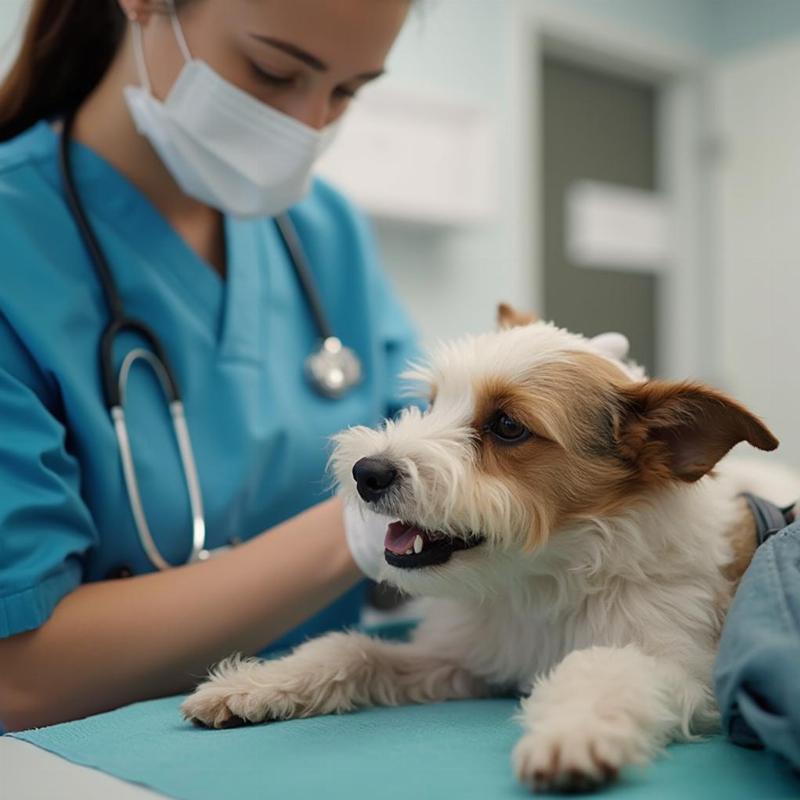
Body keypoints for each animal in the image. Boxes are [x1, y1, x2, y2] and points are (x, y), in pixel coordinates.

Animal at [183, 306, 800, 792]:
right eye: (433, 402)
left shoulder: (682, 668)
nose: (366, 472)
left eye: (507, 426)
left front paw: (573, 731)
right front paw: (254, 685)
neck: (544, 581)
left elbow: (602, 665)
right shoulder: (466, 659)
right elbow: (353, 650)